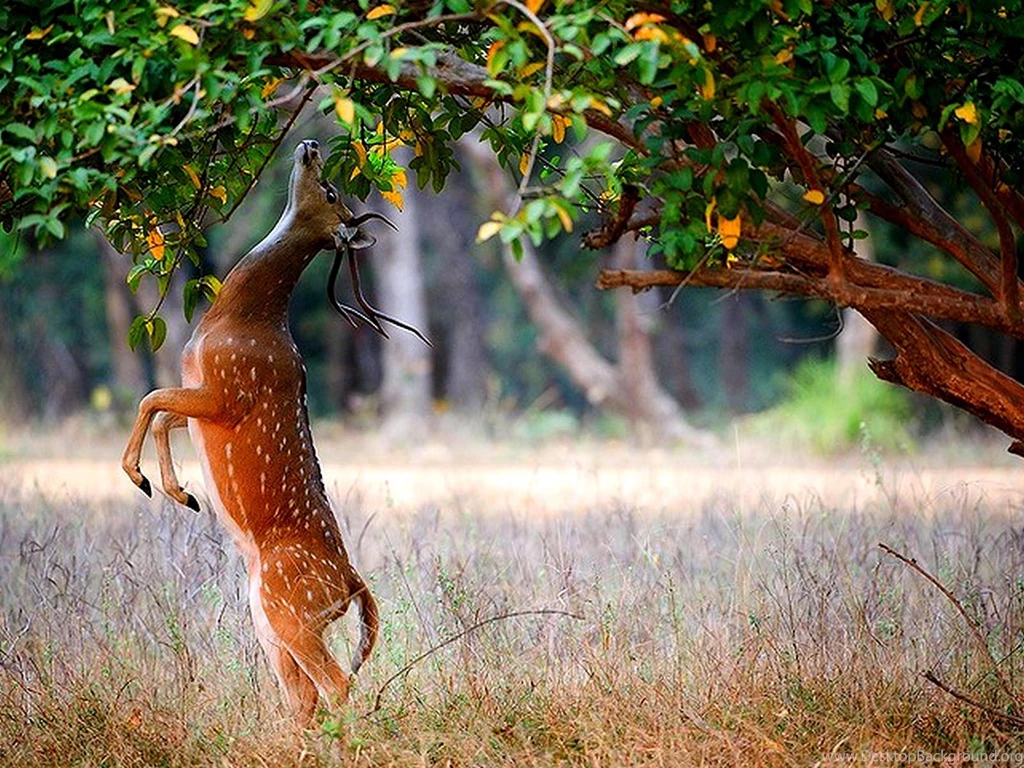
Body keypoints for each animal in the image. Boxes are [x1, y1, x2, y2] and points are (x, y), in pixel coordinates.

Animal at [121, 139, 418, 729]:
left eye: (330, 189)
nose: (311, 145)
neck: (236, 321)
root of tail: (351, 583)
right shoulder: (201, 394)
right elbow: (162, 411)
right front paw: (180, 491)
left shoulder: (227, 391)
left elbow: (151, 398)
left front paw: (142, 479)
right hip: (268, 620)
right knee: (304, 695)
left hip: (293, 611)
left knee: (336, 684)